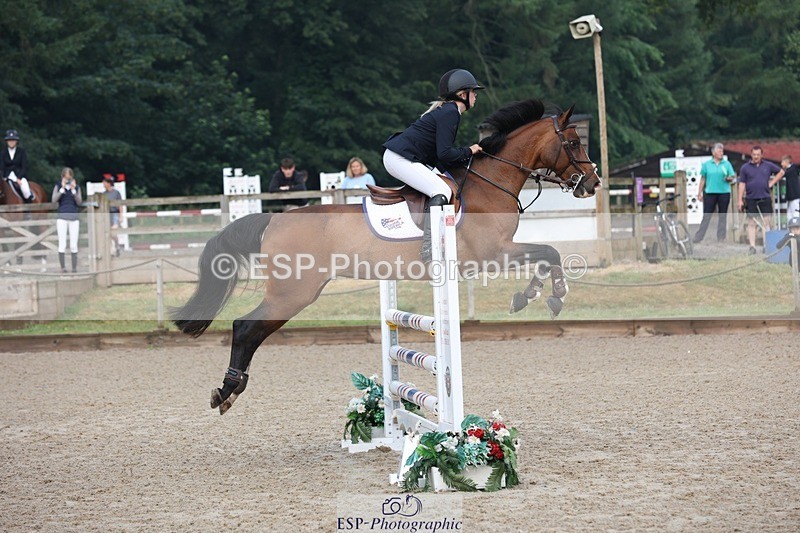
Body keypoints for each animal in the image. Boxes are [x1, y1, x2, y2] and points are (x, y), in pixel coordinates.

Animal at [172, 99, 601, 414]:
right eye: (574, 143)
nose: (593, 182)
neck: (490, 183)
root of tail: (274, 219)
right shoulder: (493, 254)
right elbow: (549, 252)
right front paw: (549, 296)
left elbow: (546, 255)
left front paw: (530, 295)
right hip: (293, 293)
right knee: (246, 327)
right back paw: (227, 390)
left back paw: (228, 390)